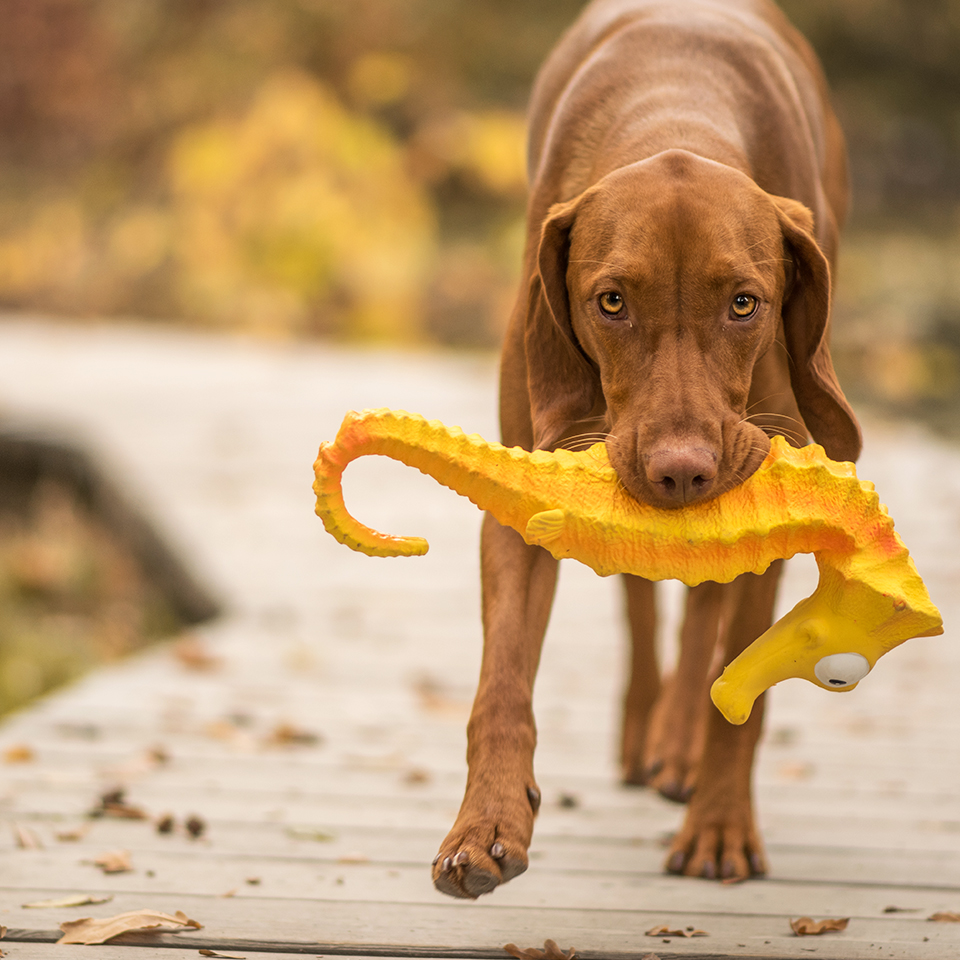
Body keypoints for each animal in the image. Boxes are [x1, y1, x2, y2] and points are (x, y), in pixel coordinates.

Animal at [432, 0, 860, 900]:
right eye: (611, 301)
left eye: (745, 303)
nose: (681, 470)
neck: (678, 112)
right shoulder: (526, 491)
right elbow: (501, 684)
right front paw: (485, 824)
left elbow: (741, 684)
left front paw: (720, 826)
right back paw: (642, 735)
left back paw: (678, 751)